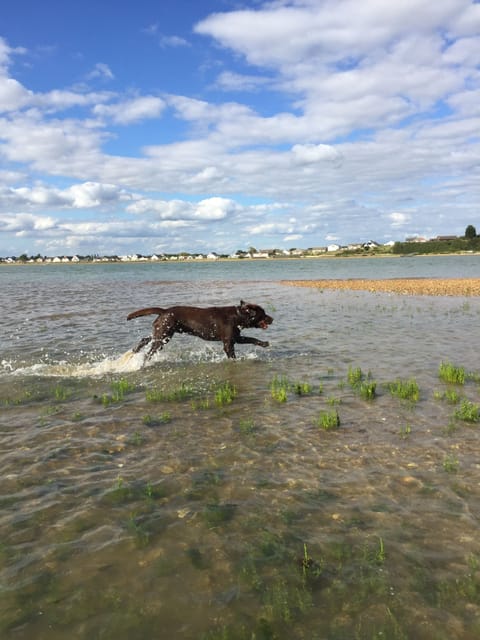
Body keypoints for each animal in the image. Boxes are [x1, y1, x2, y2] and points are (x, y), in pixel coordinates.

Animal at [127, 300, 272, 360]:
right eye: (263, 314)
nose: (272, 319)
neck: (238, 316)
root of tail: (164, 311)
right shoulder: (228, 343)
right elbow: (232, 356)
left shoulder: (236, 338)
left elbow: (252, 339)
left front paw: (264, 343)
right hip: (163, 337)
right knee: (149, 352)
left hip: (163, 333)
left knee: (145, 339)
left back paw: (135, 350)